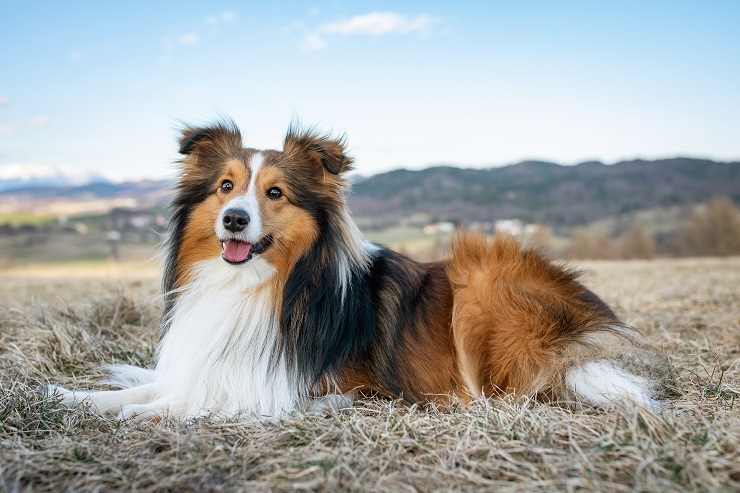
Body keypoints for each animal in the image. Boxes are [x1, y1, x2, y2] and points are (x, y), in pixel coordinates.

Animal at [50, 119, 676, 418]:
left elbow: (193, 398)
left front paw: (141, 411)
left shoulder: (298, 384)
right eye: (226, 186)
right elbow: (155, 382)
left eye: (274, 193)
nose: (233, 219)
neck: (261, 286)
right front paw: (71, 397)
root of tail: (590, 322)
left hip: (481, 278)